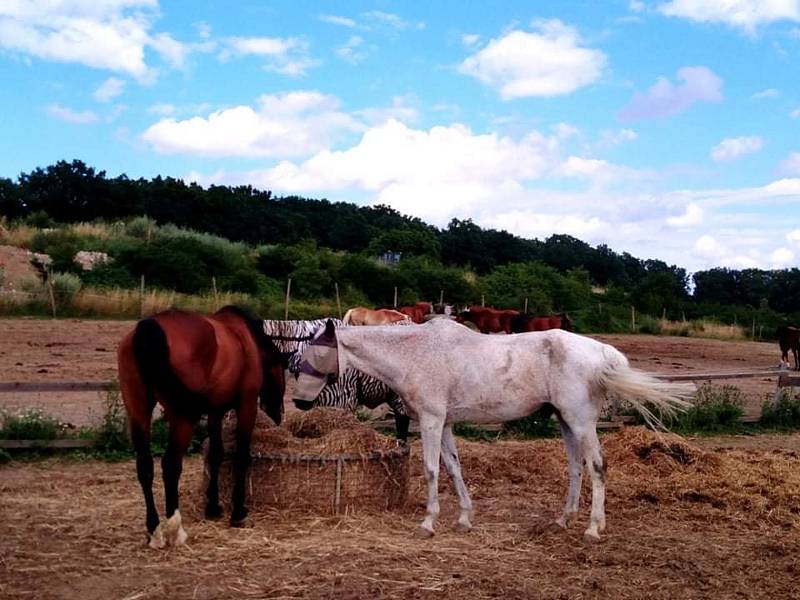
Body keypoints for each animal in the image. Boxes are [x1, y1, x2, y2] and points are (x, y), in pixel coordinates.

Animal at [119, 308, 288, 548]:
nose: (278, 413)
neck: (244, 339)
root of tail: (149, 326)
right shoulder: (246, 405)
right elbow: (241, 456)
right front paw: (238, 512)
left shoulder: (215, 412)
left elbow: (216, 454)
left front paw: (213, 507)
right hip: (181, 418)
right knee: (170, 465)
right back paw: (175, 530)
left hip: (138, 411)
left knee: (145, 466)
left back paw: (154, 531)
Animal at [294, 322, 692, 540]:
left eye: (314, 353)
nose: (298, 401)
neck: (416, 353)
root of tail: (603, 352)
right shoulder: (445, 423)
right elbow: (454, 468)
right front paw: (464, 519)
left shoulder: (431, 420)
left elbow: (431, 470)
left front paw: (428, 523)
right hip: (566, 422)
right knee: (576, 469)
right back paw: (563, 520)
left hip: (581, 421)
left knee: (597, 467)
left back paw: (593, 529)